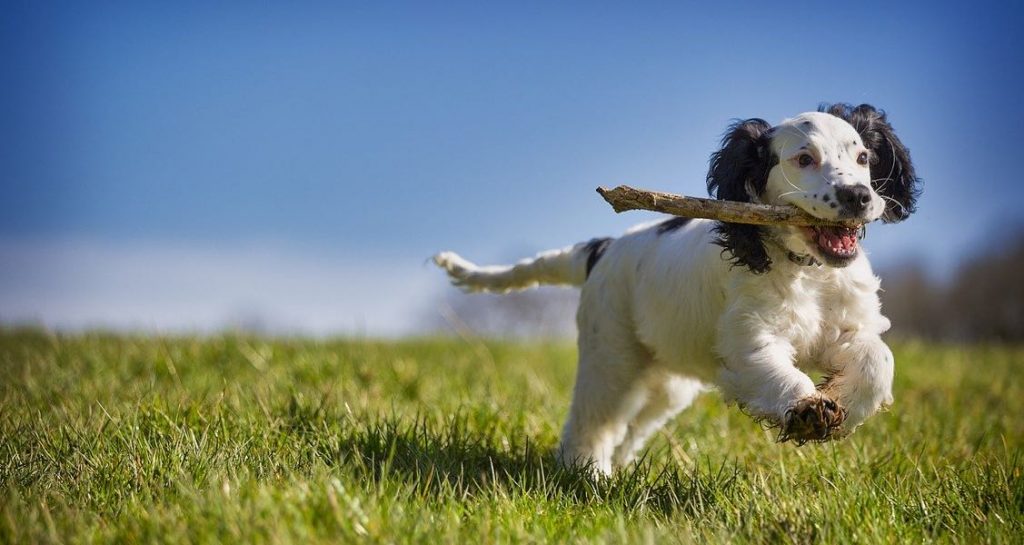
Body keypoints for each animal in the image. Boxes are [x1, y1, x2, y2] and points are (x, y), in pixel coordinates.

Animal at [432, 104, 921, 475]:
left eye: (863, 158)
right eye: (804, 160)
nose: (859, 197)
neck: (807, 271)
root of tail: (603, 248)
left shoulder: (849, 327)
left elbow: (878, 361)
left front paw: (842, 404)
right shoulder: (749, 340)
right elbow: (777, 371)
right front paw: (807, 410)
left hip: (667, 383)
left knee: (631, 427)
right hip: (611, 356)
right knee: (592, 421)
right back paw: (588, 474)